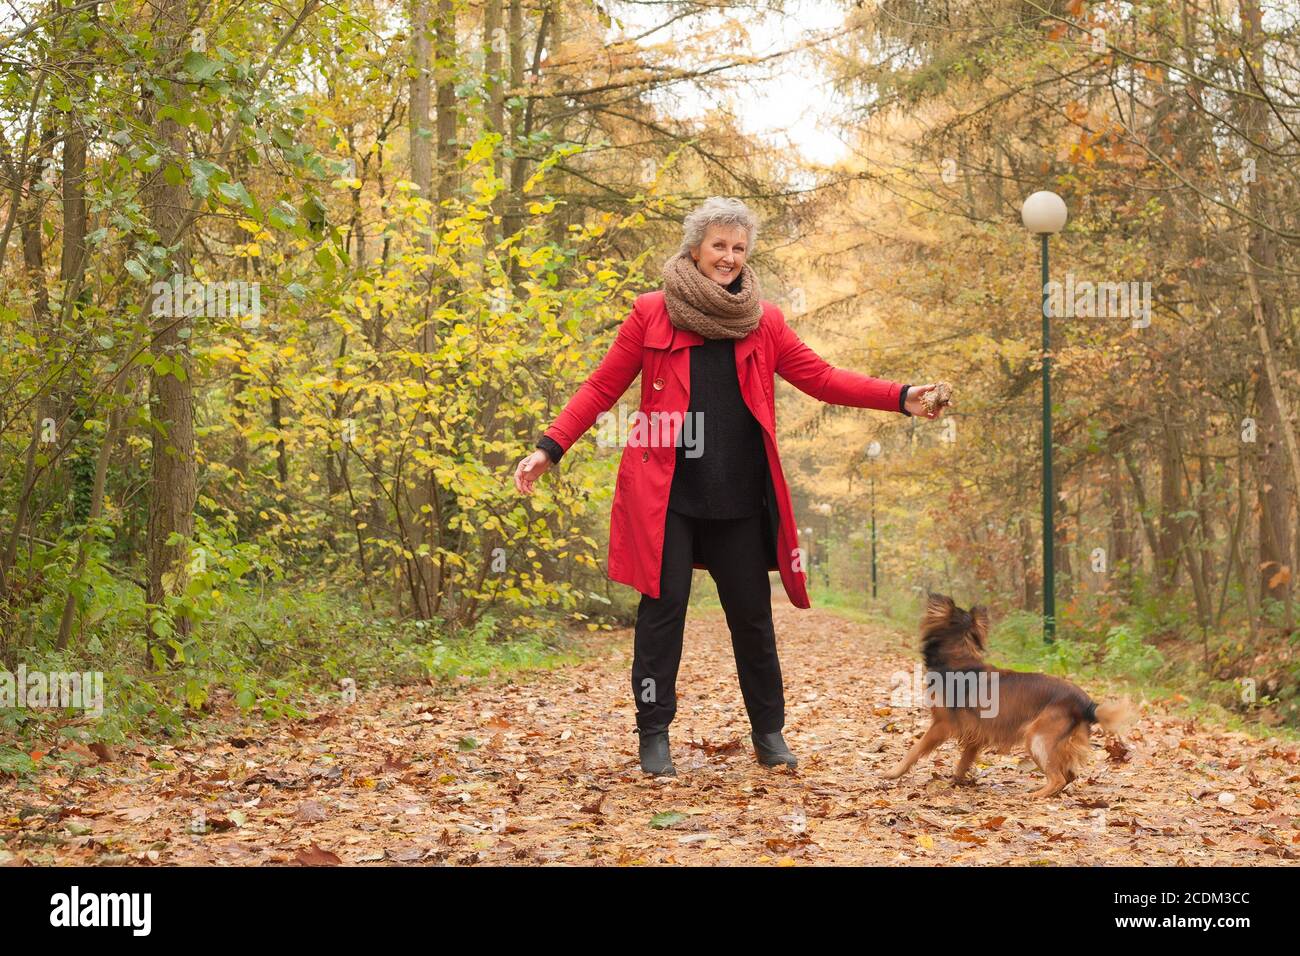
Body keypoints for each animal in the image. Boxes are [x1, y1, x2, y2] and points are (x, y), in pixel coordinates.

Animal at [883, 590, 1138, 801]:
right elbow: (964, 760)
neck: (959, 656)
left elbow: (915, 749)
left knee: (1058, 778)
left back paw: (1036, 795)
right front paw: (956, 780)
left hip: (1037, 738)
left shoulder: (942, 725)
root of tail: (1086, 703)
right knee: (1070, 775)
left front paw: (894, 772)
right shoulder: (976, 732)